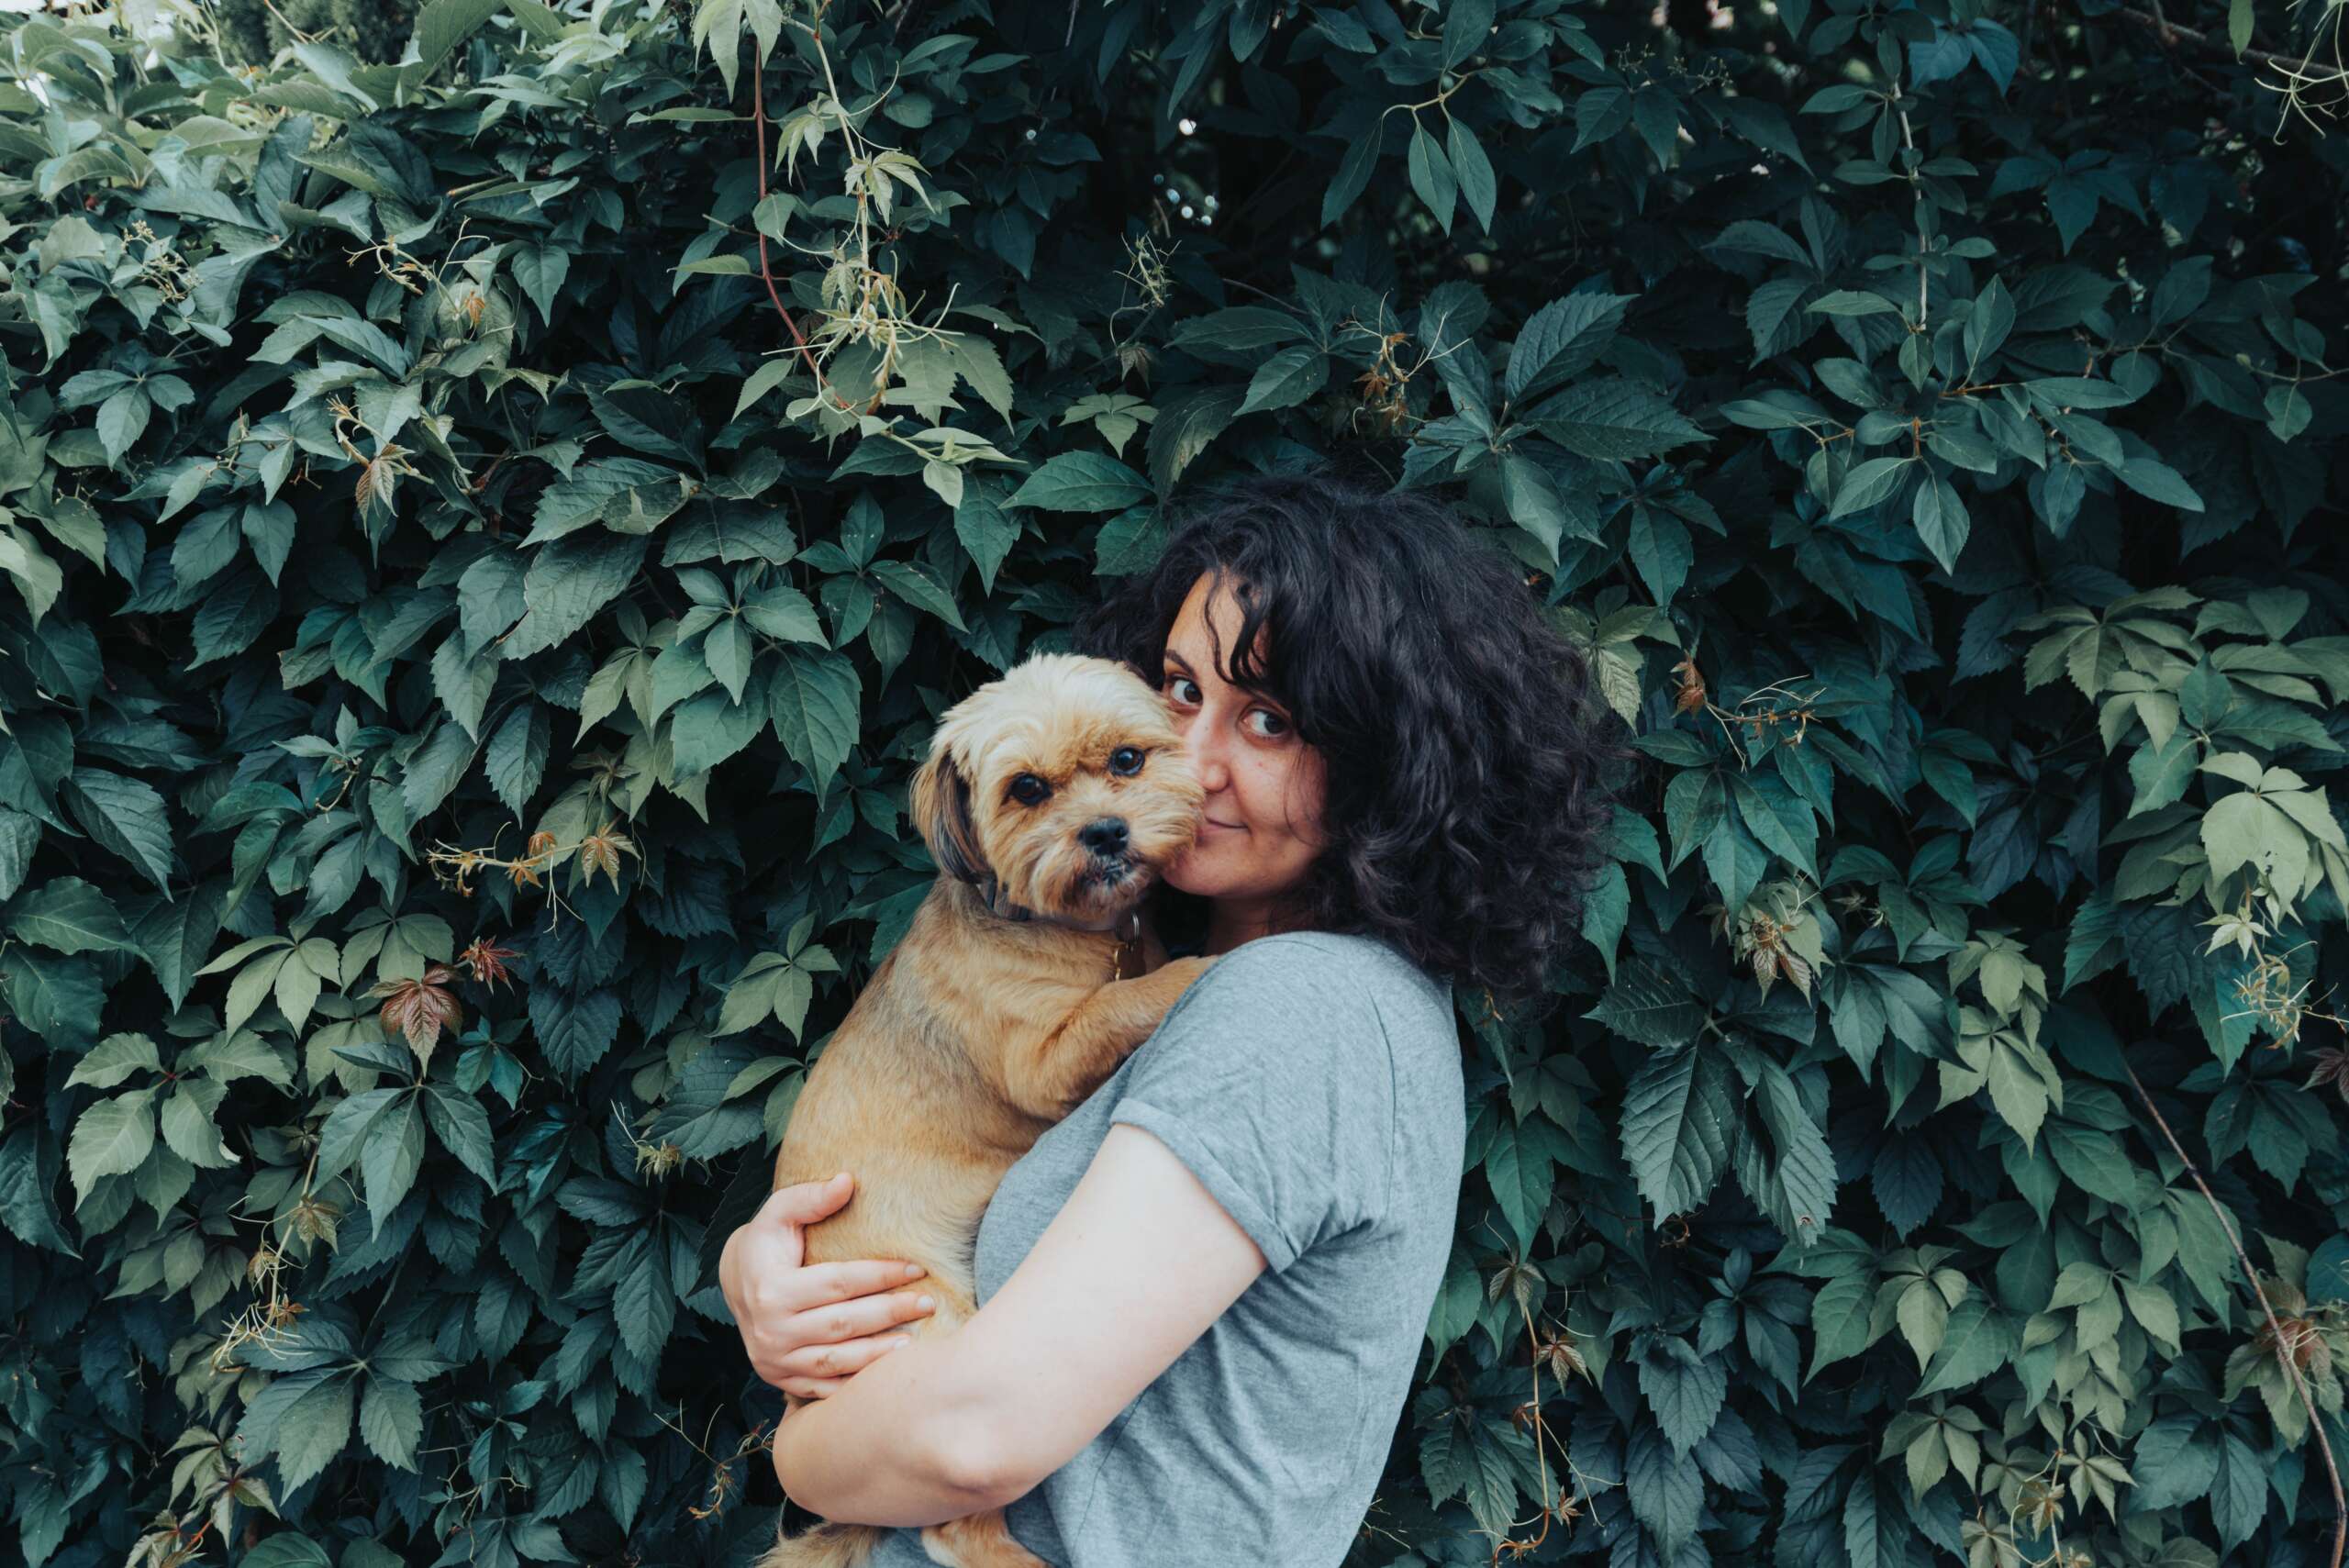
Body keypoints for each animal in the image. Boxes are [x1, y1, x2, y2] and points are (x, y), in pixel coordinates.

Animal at [761, 648, 1221, 1568]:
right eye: (1028, 789)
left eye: (1128, 760)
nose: (1105, 832)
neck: (1075, 932)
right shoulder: (1045, 1058)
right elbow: (1130, 1001)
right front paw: (1200, 966)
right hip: (932, 1328)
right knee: (949, 1528)